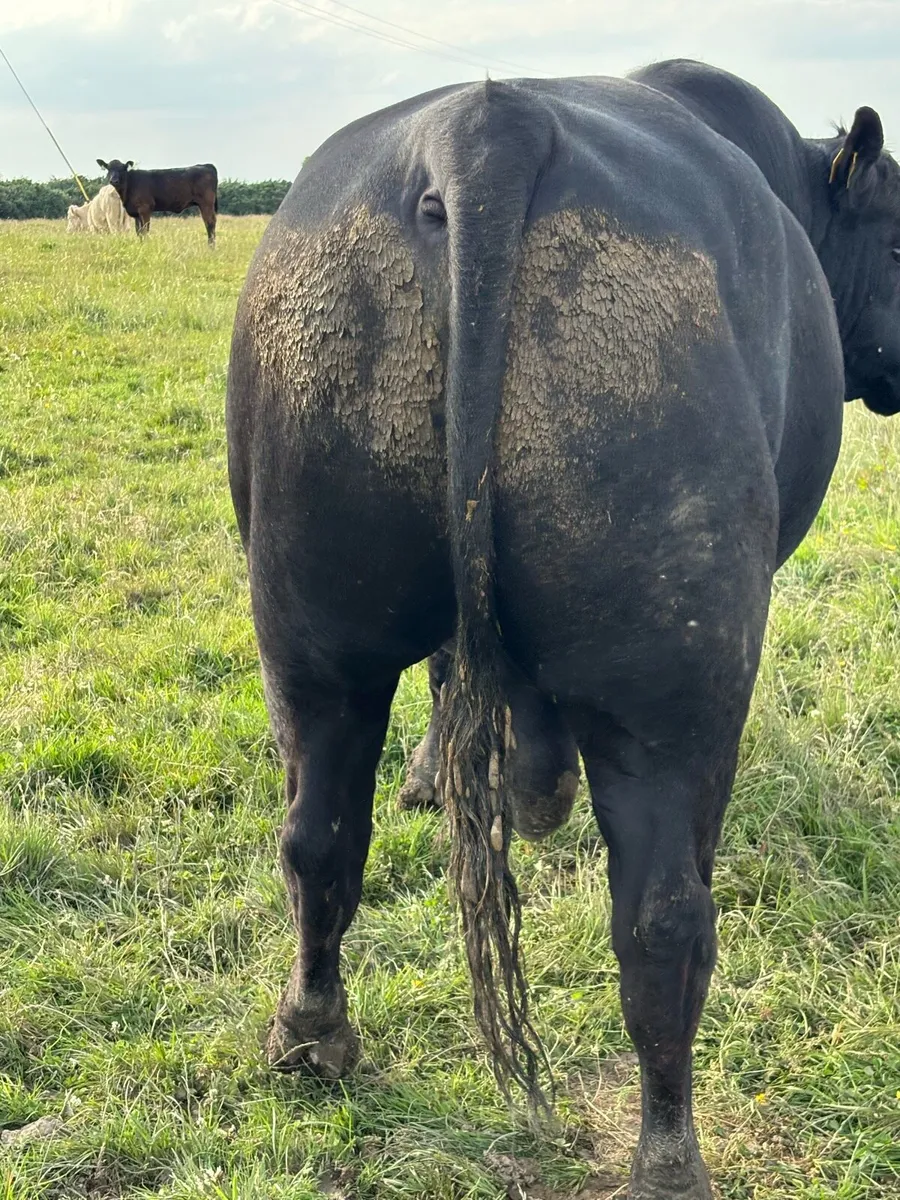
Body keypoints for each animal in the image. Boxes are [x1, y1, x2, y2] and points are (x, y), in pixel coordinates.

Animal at [225, 60, 900, 1199]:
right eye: (899, 241)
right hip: (672, 674)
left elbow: (462, 684)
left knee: (316, 838)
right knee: (664, 919)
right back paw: (669, 1159)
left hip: (312, 626)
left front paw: (488, 784)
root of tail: (490, 125)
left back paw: (312, 1032)